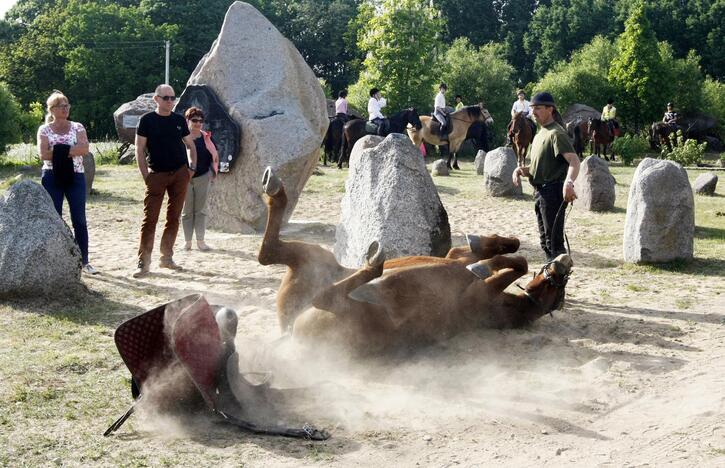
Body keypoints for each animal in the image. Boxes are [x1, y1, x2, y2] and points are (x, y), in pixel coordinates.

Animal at [256, 168, 572, 354]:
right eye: (560, 284)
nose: (563, 262)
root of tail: (287, 335)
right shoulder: (455, 259)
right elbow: (508, 251)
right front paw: (485, 249)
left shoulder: (478, 291)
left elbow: (515, 264)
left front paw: (484, 265)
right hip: (314, 259)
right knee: (269, 253)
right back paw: (274, 188)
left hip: (355, 311)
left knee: (322, 293)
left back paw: (375, 264)